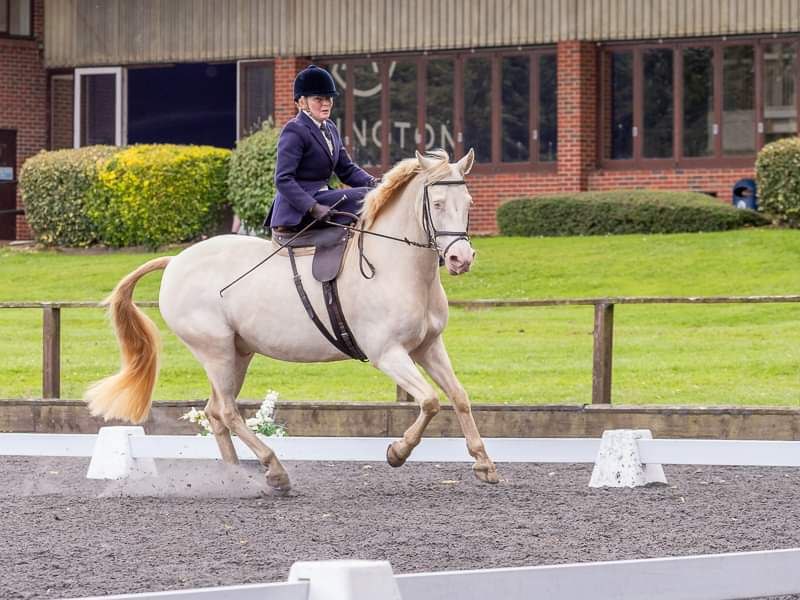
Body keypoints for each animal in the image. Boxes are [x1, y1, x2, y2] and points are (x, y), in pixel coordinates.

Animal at [87, 148, 500, 490]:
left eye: (468, 203)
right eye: (438, 203)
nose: (460, 259)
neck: (395, 266)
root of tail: (175, 261)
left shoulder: (428, 346)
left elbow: (459, 397)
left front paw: (483, 464)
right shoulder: (388, 354)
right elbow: (430, 401)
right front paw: (396, 453)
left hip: (238, 353)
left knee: (215, 412)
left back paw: (234, 477)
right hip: (215, 351)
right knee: (227, 411)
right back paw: (274, 470)